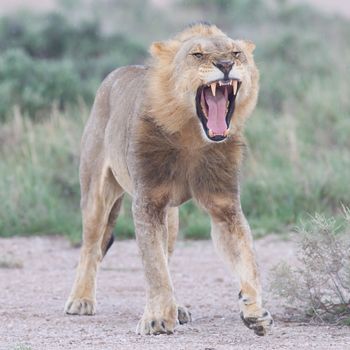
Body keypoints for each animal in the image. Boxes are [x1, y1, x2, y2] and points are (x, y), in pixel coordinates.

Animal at [64, 21, 274, 336]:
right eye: (197, 54)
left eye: (236, 53)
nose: (225, 65)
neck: (192, 135)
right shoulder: (148, 202)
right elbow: (155, 267)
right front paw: (157, 320)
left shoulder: (224, 205)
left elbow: (247, 257)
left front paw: (255, 312)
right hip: (96, 193)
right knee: (91, 247)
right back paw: (81, 300)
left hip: (171, 217)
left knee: (167, 251)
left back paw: (179, 307)